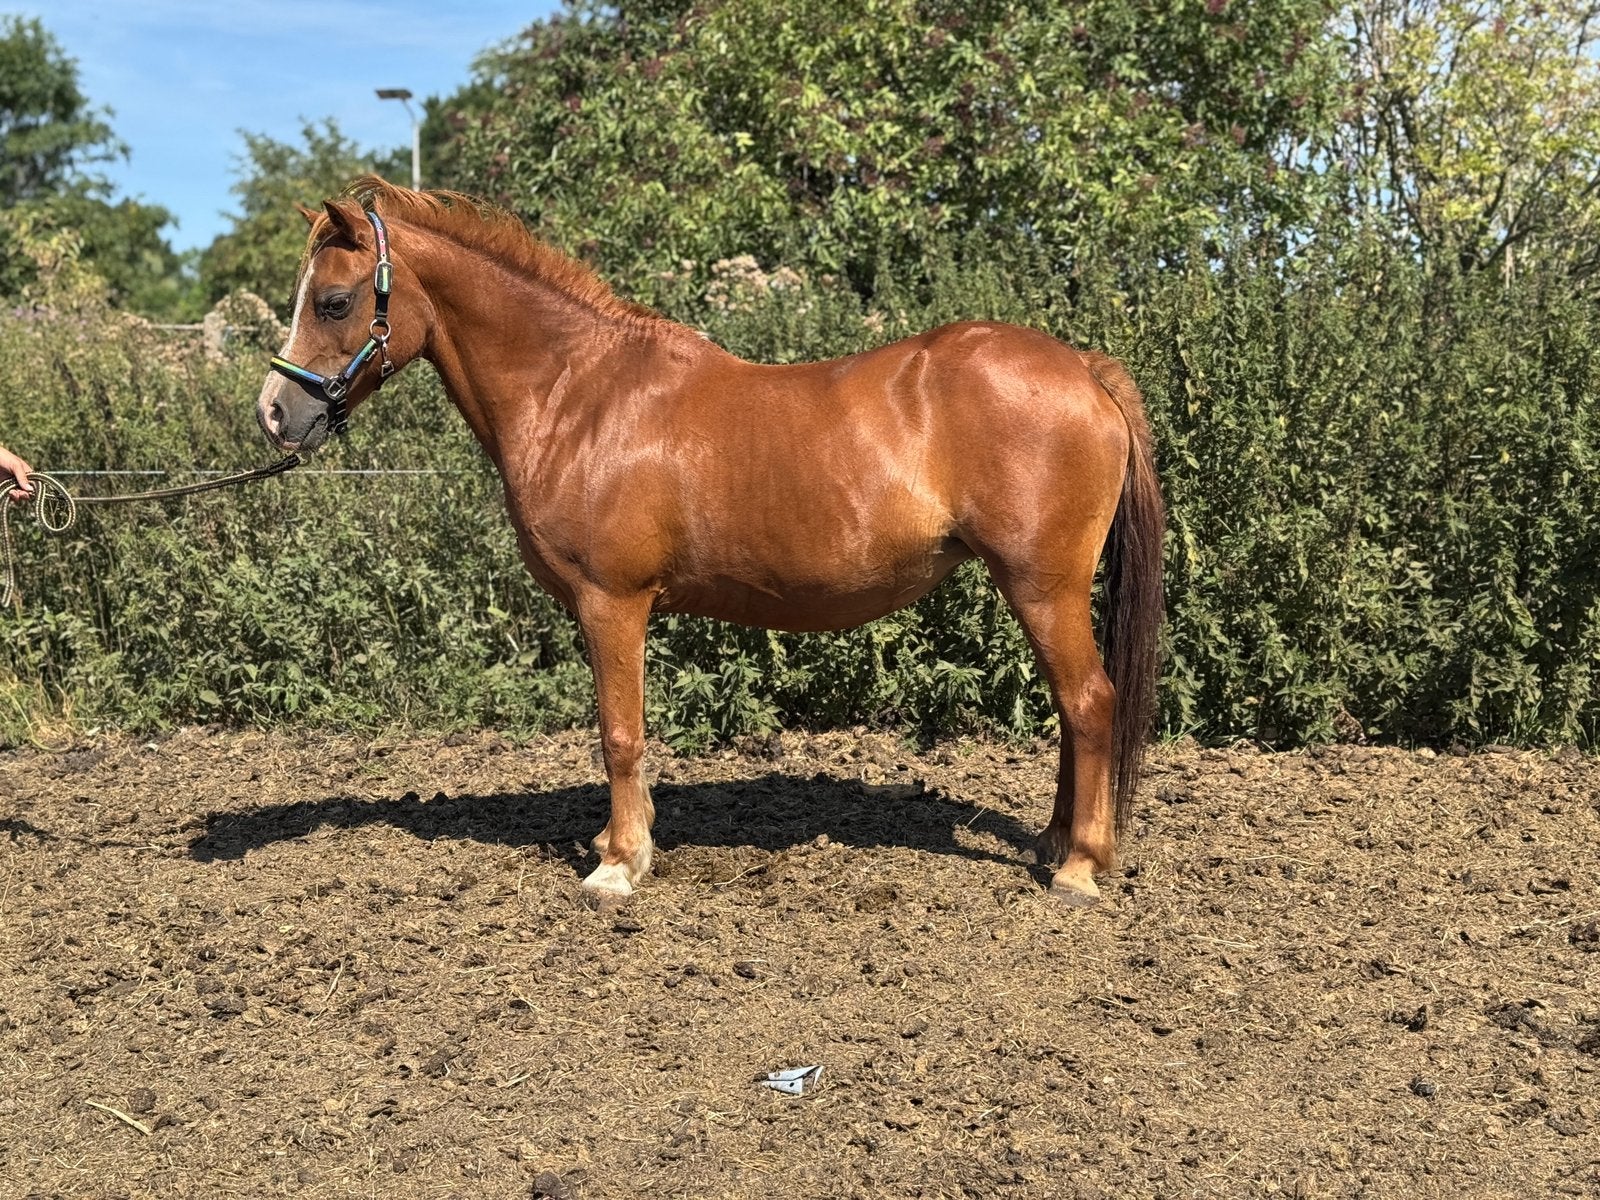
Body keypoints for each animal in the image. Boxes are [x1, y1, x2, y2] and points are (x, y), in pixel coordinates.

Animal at [256, 176, 1165, 908]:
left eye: (333, 301)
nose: (274, 413)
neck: (580, 393)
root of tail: (1082, 369)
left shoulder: (611, 603)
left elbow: (620, 735)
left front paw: (618, 866)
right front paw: (620, 845)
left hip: (1041, 584)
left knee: (1090, 702)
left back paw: (1079, 868)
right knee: (1073, 707)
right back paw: (1056, 843)